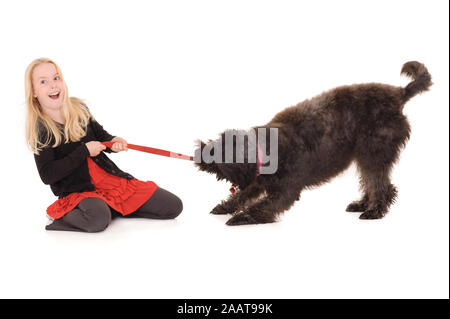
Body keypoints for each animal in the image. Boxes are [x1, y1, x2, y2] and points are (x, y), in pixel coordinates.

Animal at [194, 62, 432, 226]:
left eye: (220, 154)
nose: (200, 151)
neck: (267, 149)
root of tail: (398, 94)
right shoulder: (258, 182)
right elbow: (242, 196)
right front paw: (225, 207)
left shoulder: (285, 191)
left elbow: (261, 206)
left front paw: (241, 217)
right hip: (365, 156)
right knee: (371, 184)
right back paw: (362, 204)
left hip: (373, 154)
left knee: (382, 186)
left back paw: (374, 211)